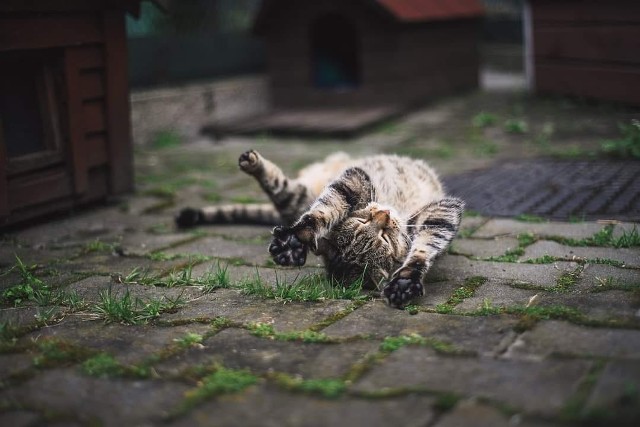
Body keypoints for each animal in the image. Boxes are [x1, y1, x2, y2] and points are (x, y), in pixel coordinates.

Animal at [178, 150, 462, 308]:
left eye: (386, 237)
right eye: (363, 222)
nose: (383, 214)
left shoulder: (443, 210)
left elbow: (425, 246)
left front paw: (406, 279)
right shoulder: (355, 178)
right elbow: (325, 209)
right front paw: (297, 237)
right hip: (306, 193)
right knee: (286, 190)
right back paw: (254, 163)